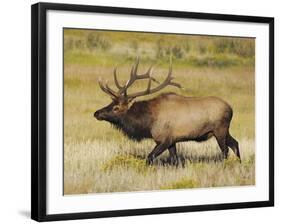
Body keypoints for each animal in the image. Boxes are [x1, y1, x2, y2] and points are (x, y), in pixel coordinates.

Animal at [93, 57, 240, 166]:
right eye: (111, 103)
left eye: (116, 108)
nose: (96, 113)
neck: (148, 122)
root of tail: (231, 108)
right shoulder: (172, 141)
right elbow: (175, 160)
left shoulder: (164, 139)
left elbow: (149, 158)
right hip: (223, 131)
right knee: (235, 144)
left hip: (220, 129)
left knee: (225, 150)